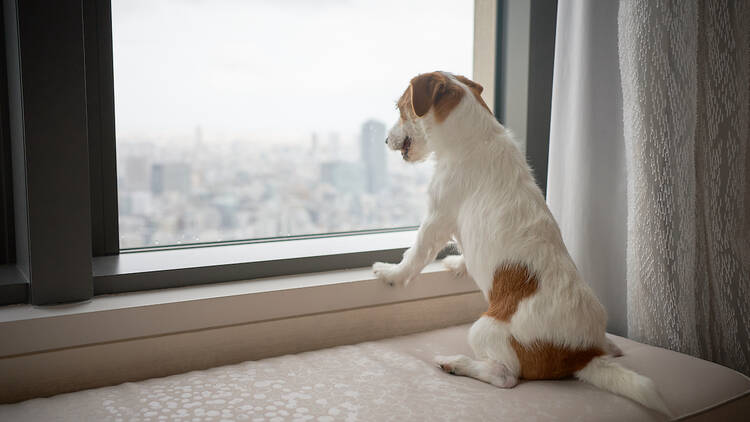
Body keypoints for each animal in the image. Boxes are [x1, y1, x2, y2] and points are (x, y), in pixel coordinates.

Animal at [374, 71, 672, 416]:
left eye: (400, 109)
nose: (385, 141)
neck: (475, 137)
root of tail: (582, 356)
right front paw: (458, 263)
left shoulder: (436, 218)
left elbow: (415, 255)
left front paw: (390, 273)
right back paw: (611, 347)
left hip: (483, 330)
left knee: (504, 376)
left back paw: (456, 363)